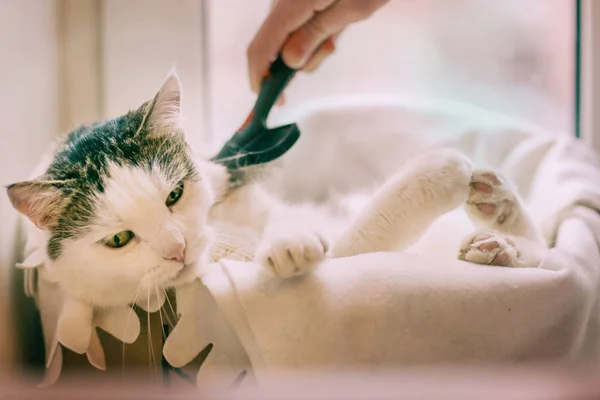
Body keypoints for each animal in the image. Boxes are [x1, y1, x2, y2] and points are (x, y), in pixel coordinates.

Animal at [5, 71, 548, 316]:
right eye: (119, 240)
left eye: (174, 195)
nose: (178, 248)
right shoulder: (342, 249)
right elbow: (364, 228)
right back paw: (492, 236)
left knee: (547, 255)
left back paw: (497, 219)